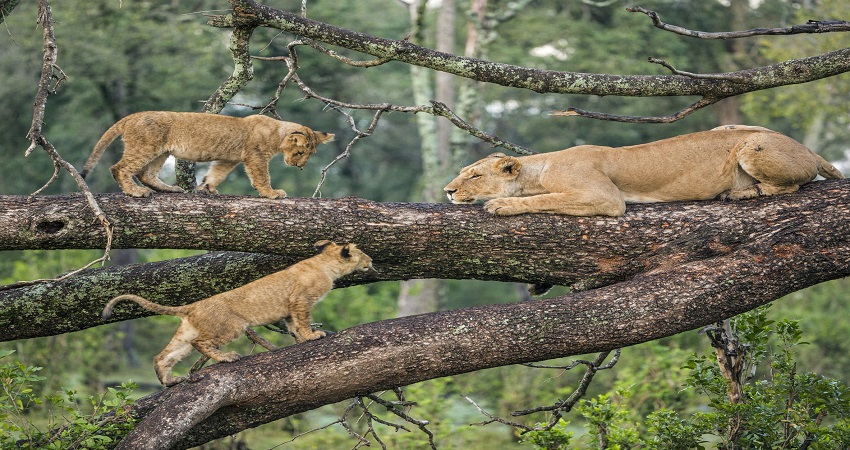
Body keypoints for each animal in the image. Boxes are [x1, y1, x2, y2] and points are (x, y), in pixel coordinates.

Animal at [80, 111, 335, 199]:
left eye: (309, 155)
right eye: (299, 152)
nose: (300, 166)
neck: (277, 132)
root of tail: (134, 115)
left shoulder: (230, 159)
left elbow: (217, 173)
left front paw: (207, 188)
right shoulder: (255, 156)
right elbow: (262, 176)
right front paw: (271, 194)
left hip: (161, 152)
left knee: (146, 174)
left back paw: (170, 189)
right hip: (146, 147)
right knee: (120, 168)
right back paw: (136, 192)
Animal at [101, 240, 374, 386]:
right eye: (363, 254)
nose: (372, 261)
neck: (326, 264)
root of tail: (194, 305)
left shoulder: (289, 307)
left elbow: (292, 325)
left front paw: (299, 339)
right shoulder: (301, 299)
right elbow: (303, 322)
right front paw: (312, 336)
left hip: (185, 333)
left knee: (163, 356)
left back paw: (169, 381)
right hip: (231, 327)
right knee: (202, 343)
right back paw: (226, 358)